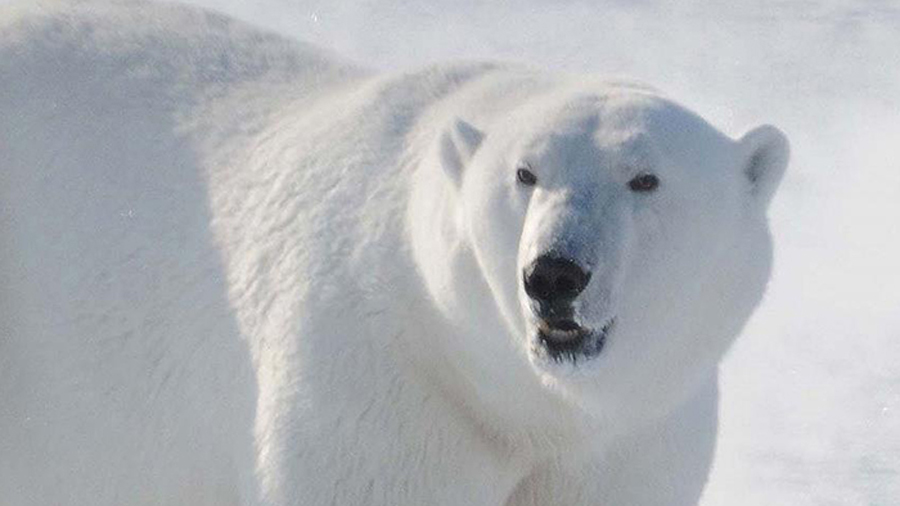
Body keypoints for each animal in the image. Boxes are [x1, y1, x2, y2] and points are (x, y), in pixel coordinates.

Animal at [0, 0, 788, 506]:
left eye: (645, 178)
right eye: (525, 173)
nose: (553, 274)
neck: (529, 405)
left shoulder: (636, 434)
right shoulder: (383, 399)